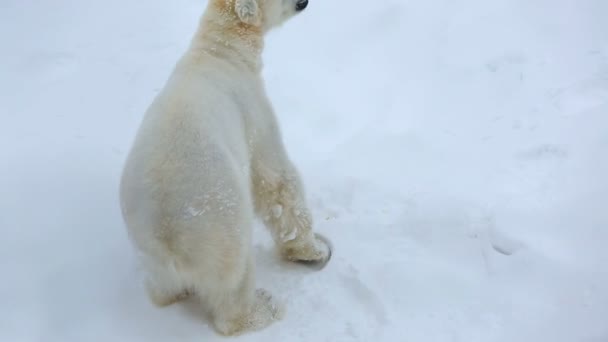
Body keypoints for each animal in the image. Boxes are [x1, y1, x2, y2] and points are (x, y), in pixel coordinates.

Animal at [119, 0, 332, 336]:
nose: (306, 1)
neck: (221, 51)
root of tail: (167, 236)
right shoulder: (253, 111)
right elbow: (275, 181)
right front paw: (313, 250)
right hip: (221, 227)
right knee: (233, 282)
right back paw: (263, 308)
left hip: (146, 251)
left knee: (162, 289)